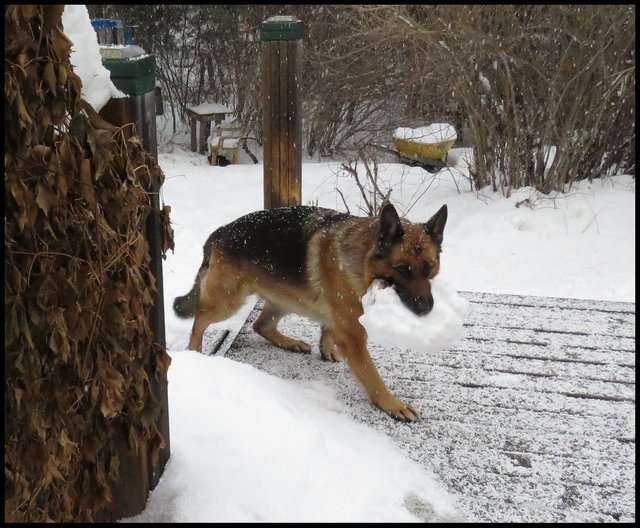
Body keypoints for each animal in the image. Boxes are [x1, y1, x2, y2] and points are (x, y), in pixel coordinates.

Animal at [172, 202, 448, 420]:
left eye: (429, 267)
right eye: (402, 269)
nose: (425, 308)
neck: (362, 259)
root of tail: (218, 233)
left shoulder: (340, 313)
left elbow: (328, 328)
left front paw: (327, 347)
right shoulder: (353, 334)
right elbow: (371, 374)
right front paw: (391, 403)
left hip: (286, 300)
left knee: (261, 325)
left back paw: (290, 343)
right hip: (228, 301)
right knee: (200, 318)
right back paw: (194, 351)